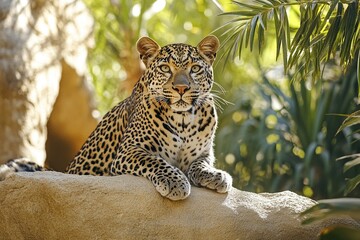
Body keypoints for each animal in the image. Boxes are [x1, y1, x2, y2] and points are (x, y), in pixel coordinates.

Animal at [0, 35, 232, 201]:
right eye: (165, 68)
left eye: (195, 69)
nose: (182, 88)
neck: (183, 119)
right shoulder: (128, 151)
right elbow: (155, 160)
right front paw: (175, 182)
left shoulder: (203, 153)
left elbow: (201, 164)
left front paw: (216, 175)